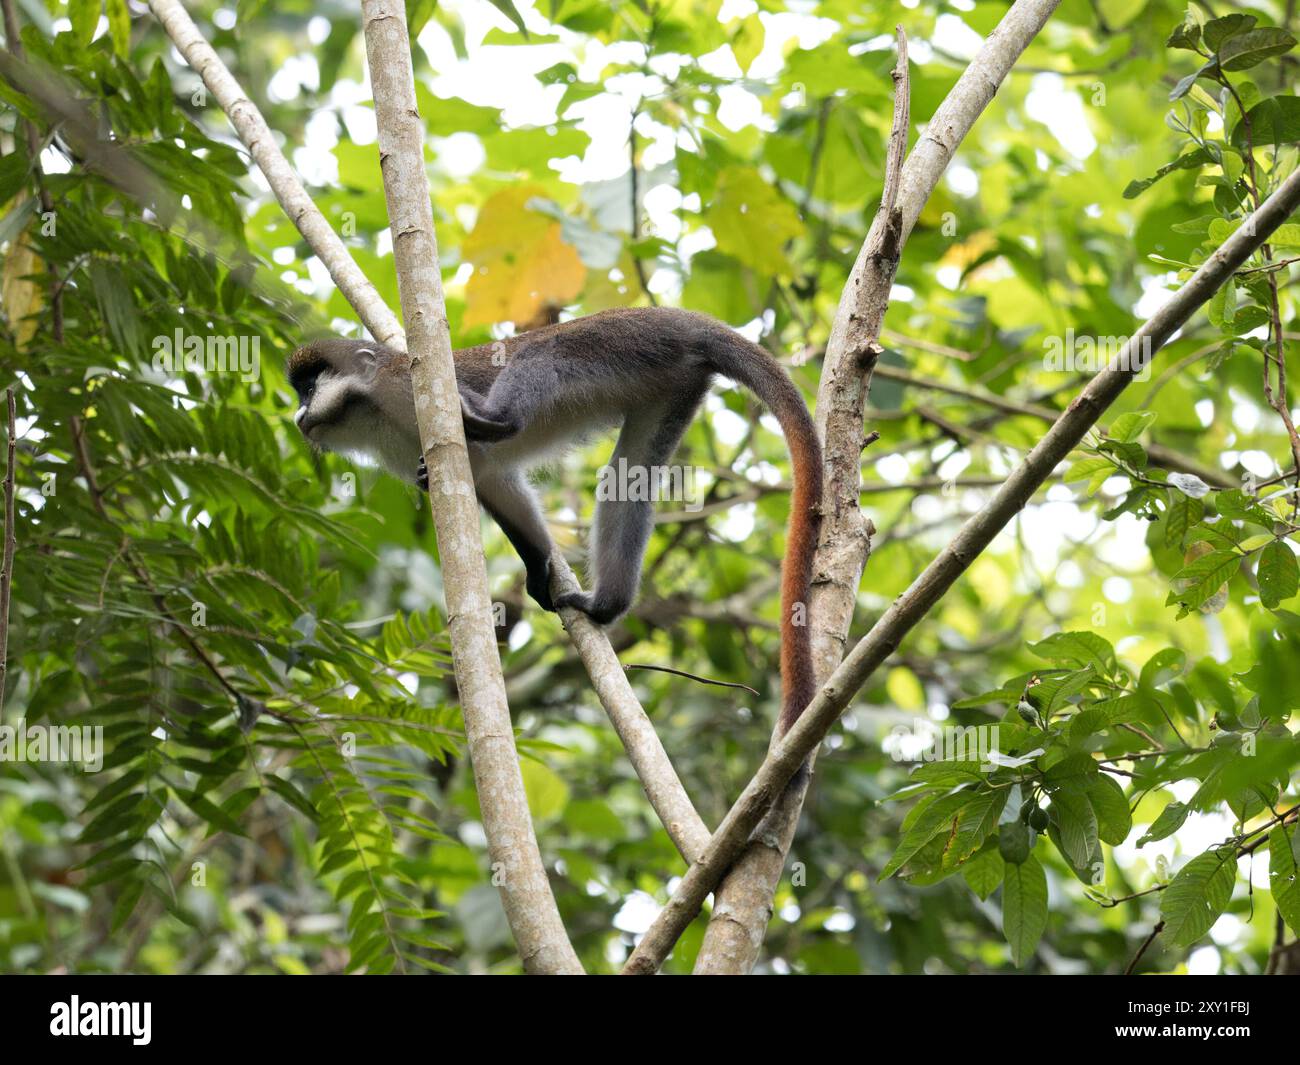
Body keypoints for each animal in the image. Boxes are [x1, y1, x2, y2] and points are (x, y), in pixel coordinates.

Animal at [287, 306, 822, 733]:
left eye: (310, 389)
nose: (297, 417)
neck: (371, 410)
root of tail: (681, 319)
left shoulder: (407, 387)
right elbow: (499, 486)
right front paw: (538, 567)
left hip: (613, 344)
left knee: (538, 356)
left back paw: (492, 418)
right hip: (671, 386)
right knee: (627, 479)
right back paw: (606, 606)